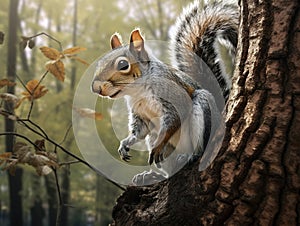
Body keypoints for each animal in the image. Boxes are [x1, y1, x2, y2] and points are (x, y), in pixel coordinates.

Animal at [91, 0, 239, 185]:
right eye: (99, 62)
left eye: (123, 65)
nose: (95, 88)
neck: (139, 91)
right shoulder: (140, 113)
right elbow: (140, 131)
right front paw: (126, 142)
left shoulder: (173, 97)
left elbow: (175, 118)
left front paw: (156, 146)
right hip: (160, 143)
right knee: (170, 169)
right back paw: (152, 175)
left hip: (204, 109)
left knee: (200, 147)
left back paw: (189, 156)